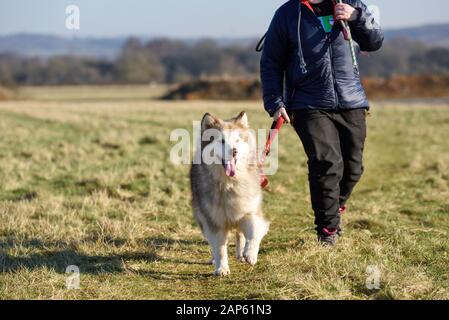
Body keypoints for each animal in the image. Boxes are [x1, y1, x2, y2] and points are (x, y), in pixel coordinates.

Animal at [190, 111, 270, 276]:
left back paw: (241, 254)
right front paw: (221, 268)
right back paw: (215, 260)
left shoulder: (249, 211)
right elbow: (219, 248)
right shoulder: (214, 221)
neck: (229, 184)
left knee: (240, 234)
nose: (234, 151)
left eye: (237, 140)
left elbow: (254, 231)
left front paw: (250, 254)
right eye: (221, 141)